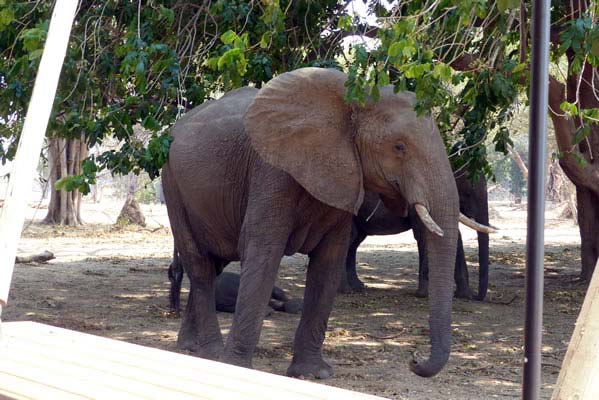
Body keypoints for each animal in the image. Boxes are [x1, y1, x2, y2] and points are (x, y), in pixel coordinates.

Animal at [340, 173, 490, 300]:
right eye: (468, 193)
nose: (477, 297)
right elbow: (424, 234)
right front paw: (424, 295)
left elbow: (453, 236)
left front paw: (465, 295)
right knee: (350, 238)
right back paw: (346, 290)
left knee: (355, 241)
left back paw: (358, 287)